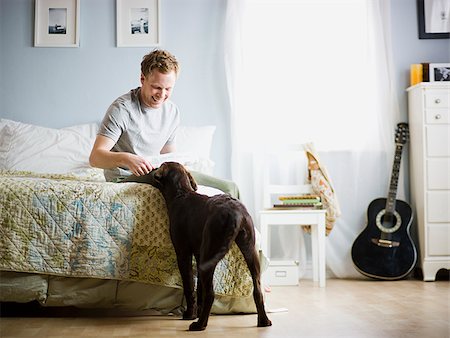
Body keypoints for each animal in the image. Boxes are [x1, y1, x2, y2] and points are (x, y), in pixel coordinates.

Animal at [126, 162, 272, 332]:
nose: (151, 169)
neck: (181, 194)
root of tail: (235, 213)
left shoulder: (183, 253)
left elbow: (189, 286)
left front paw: (190, 314)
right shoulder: (199, 253)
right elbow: (199, 288)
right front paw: (197, 311)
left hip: (212, 250)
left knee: (210, 293)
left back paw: (199, 324)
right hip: (248, 250)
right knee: (257, 290)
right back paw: (263, 321)